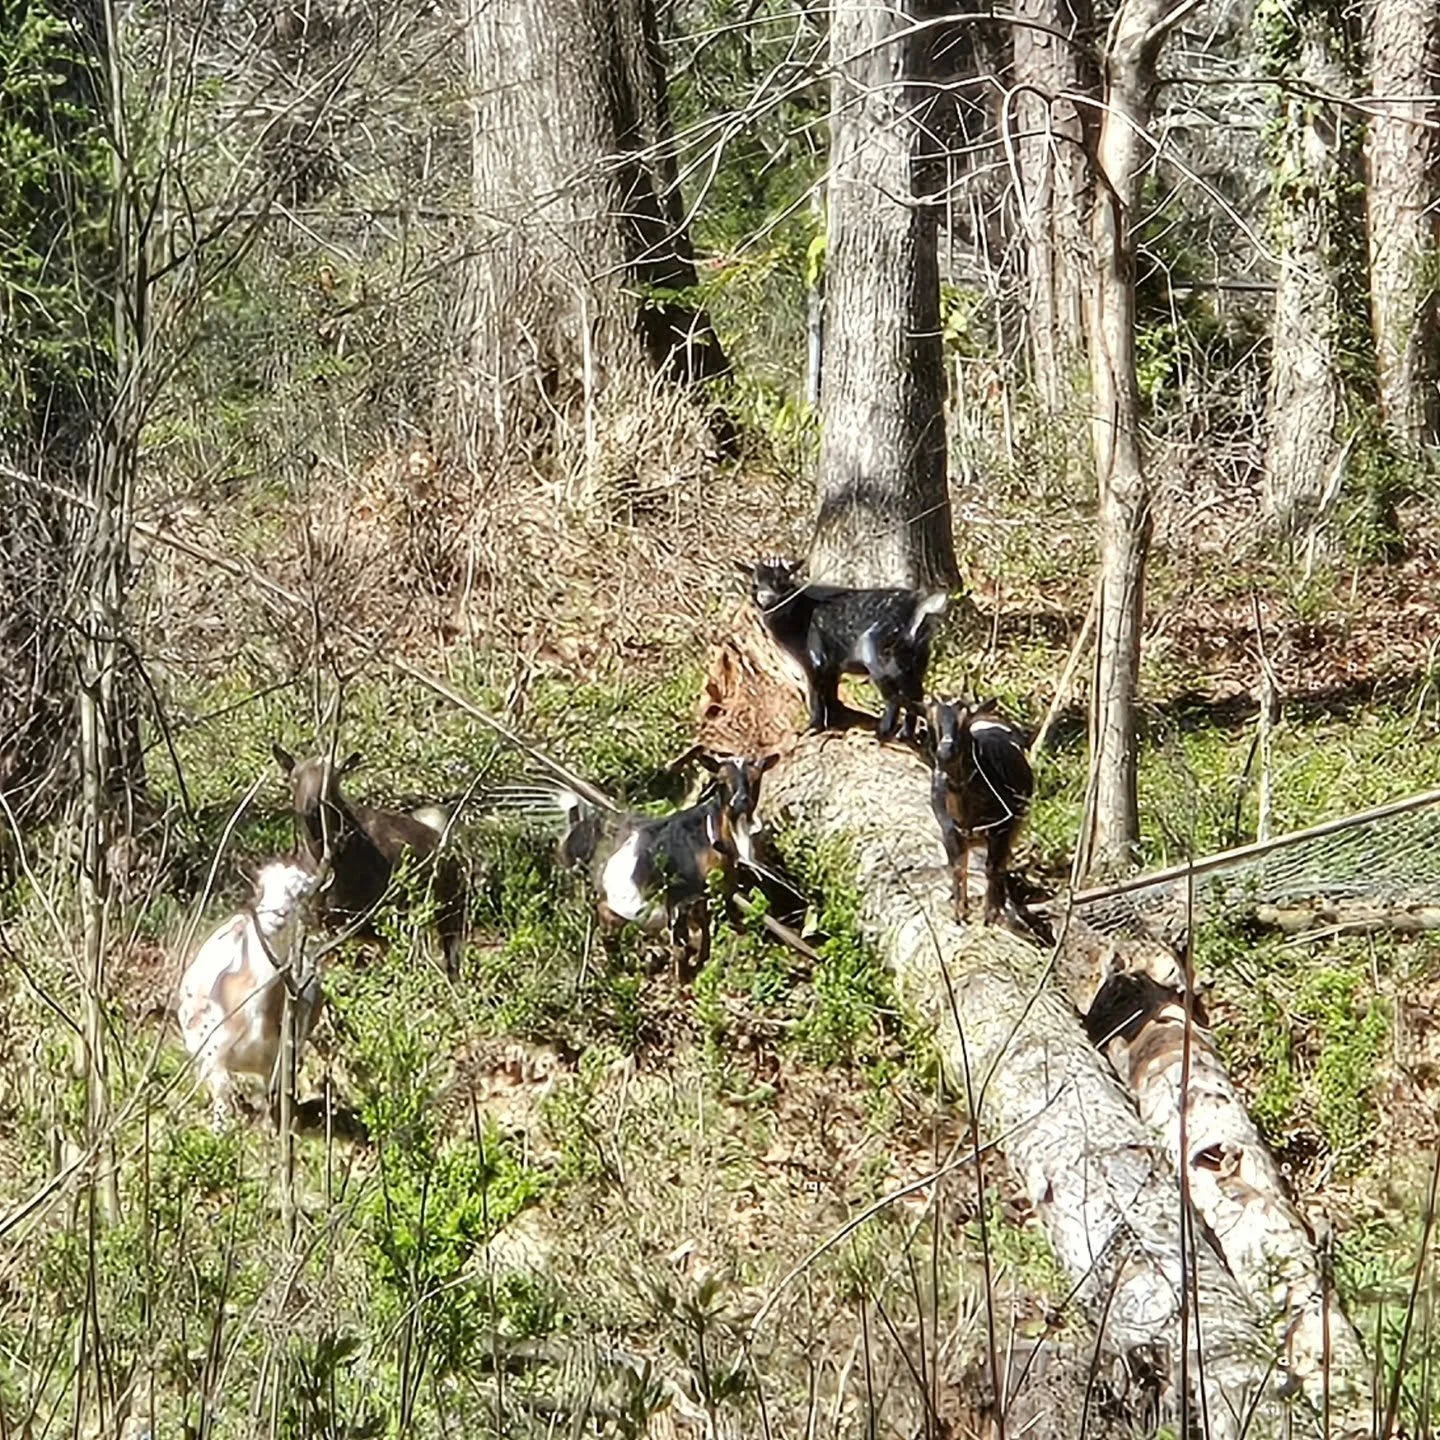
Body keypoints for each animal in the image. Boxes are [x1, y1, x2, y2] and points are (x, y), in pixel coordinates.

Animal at [175, 860, 323, 1130]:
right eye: (261, 889)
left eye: (301, 893)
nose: (277, 916)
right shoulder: (214, 1051)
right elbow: (221, 1091)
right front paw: (219, 1130)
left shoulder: (282, 1058)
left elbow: (272, 1097)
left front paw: (271, 1129)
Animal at [272, 746, 467, 978]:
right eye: (294, 779)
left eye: (333, 781)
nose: (311, 808)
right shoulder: (324, 925)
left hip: (449, 910)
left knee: (450, 957)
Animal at [558, 749, 779, 976]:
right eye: (721, 780)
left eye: (756, 778)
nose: (741, 802)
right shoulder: (680, 897)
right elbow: (683, 945)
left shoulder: (711, 893)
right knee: (606, 917)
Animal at [740, 556, 947, 741]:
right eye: (755, 583)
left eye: (781, 580)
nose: (766, 598)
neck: (797, 614)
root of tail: (918, 607)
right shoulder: (832, 665)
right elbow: (830, 692)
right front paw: (835, 723)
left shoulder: (813, 660)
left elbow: (815, 693)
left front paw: (813, 727)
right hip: (915, 661)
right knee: (915, 695)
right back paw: (905, 735)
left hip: (879, 656)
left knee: (893, 696)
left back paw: (882, 733)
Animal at [924, 698, 1033, 926]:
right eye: (931, 720)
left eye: (965, 723)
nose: (945, 753)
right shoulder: (949, 830)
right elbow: (958, 867)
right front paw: (959, 911)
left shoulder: (1003, 829)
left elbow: (992, 867)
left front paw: (991, 914)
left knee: (1001, 864)